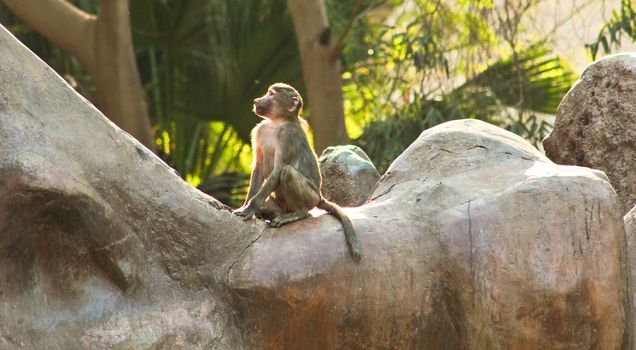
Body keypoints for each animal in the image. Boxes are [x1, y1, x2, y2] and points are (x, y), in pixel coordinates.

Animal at [235, 83, 362, 262]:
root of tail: (320, 196)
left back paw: (298, 214)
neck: (278, 122)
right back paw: (271, 213)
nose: (257, 100)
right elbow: (258, 168)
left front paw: (249, 209)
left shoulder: (288, 135)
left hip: (311, 197)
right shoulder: (261, 130)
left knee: (288, 173)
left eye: (271, 94)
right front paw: (246, 206)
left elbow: (279, 169)